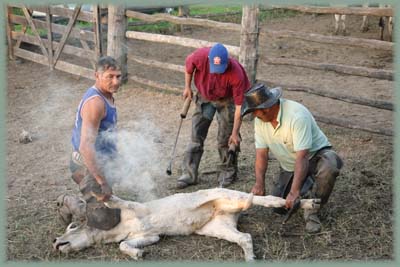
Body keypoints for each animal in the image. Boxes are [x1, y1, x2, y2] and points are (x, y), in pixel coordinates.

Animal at [54, 188, 322, 262]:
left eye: (71, 227)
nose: (56, 243)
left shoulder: (135, 207)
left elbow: (113, 200)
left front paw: (102, 195)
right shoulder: (150, 236)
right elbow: (125, 246)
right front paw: (139, 254)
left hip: (228, 196)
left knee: (264, 199)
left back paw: (310, 203)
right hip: (218, 229)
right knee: (245, 238)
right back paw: (250, 258)